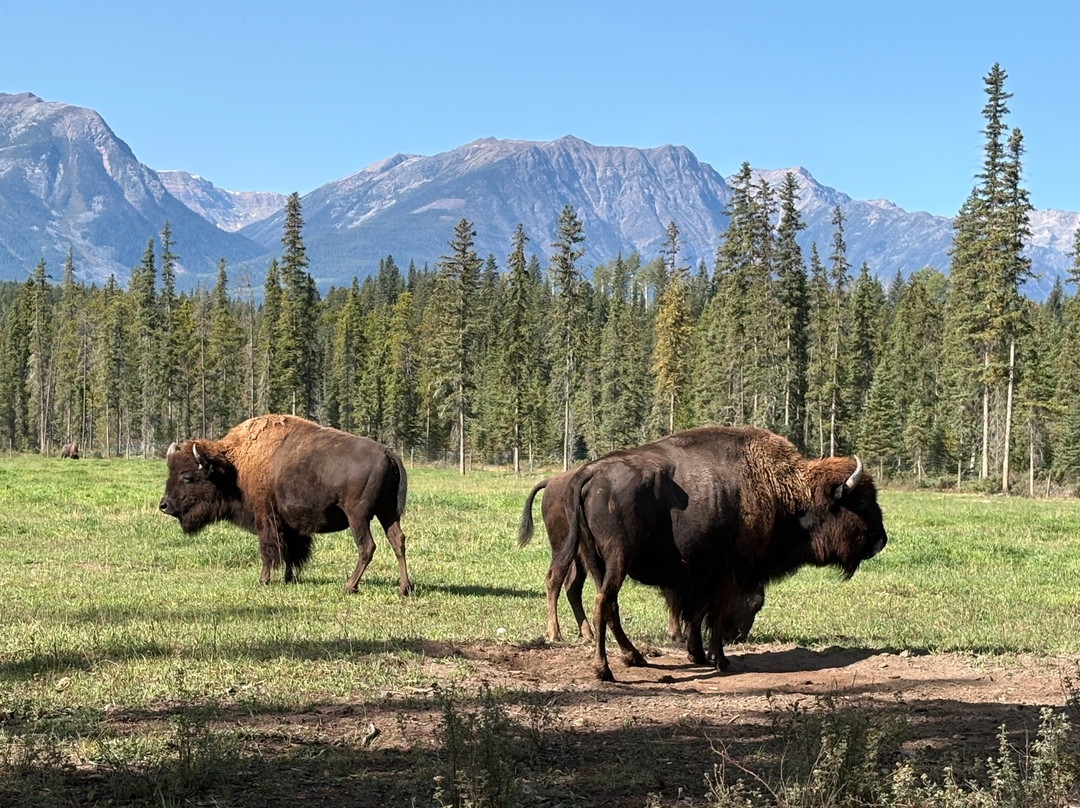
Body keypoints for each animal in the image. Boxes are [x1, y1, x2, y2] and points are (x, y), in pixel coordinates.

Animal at [159, 414, 413, 595]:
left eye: (188, 477)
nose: (164, 505)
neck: (235, 465)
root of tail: (388, 453)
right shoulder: (289, 523)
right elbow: (291, 550)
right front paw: (289, 578)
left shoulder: (265, 517)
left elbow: (268, 550)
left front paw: (263, 581)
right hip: (388, 513)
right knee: (397, 541)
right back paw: (404, 588)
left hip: (358, 516)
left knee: (366, 547)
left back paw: (349, 586)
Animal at [518, 469, 765, 652]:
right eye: (755, 603)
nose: (738, 637)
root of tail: (552, 482)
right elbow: (676, 598)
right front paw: (678, 635)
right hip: (562, 548)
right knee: (554, 580)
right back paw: (555, 633)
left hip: (580, 557)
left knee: (573, 587)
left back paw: (587, 633)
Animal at [559, 426, 887, 681]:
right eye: (860, 502)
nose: (880, 542)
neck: (781, 490)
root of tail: (590, 473)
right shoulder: (730, 574)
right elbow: (713, 614)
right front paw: (721, 660)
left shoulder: (701, 576)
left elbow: (696, 614)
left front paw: (697, 655)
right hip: (618, 558)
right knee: (604, 602)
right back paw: (604, 670)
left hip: (597, 561)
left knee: (610, 605)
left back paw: (634, 657)